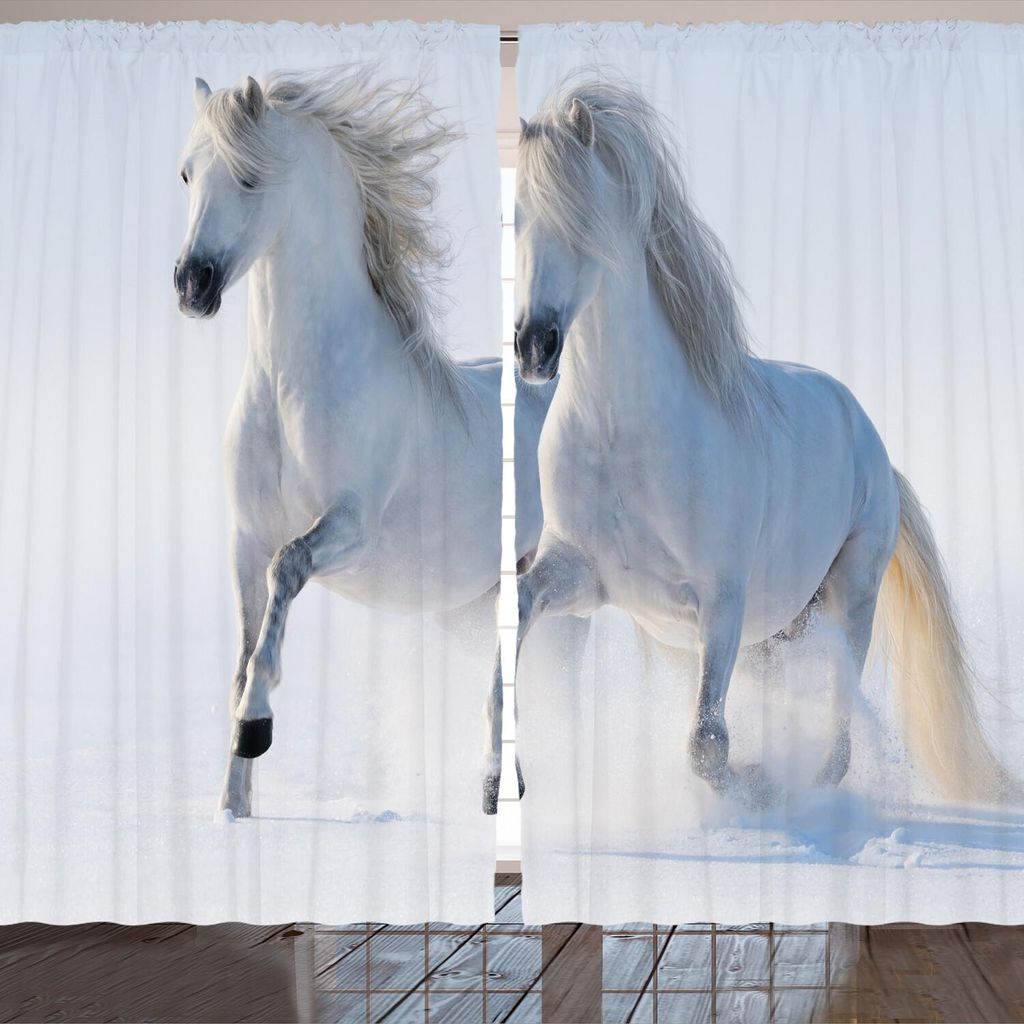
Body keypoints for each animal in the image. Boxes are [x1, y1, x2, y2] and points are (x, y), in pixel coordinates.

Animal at [174, 70, 547, 819]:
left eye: (251, 177)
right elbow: (241, 655)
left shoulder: (350, 528)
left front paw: (257, 727)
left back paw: (498, 788)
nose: (191, 285)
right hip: (468, 602)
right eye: (187, 173)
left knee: (507, 672)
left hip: (528, 575)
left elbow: (286, 576)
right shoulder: (245, 538)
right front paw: (233, 806)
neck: (294, 389)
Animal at [513, 76, 1017, 809]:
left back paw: (807, 790)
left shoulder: (721, 602)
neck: (623, 437)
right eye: (516, 217)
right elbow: (521, 605)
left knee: (839, 721)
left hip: (847, 600)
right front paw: (504, 775)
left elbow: (706, 744)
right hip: (773, 636)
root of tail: (873, 445)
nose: (534, 346)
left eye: (579, 217)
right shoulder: (586, 576)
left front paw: (753, 788)